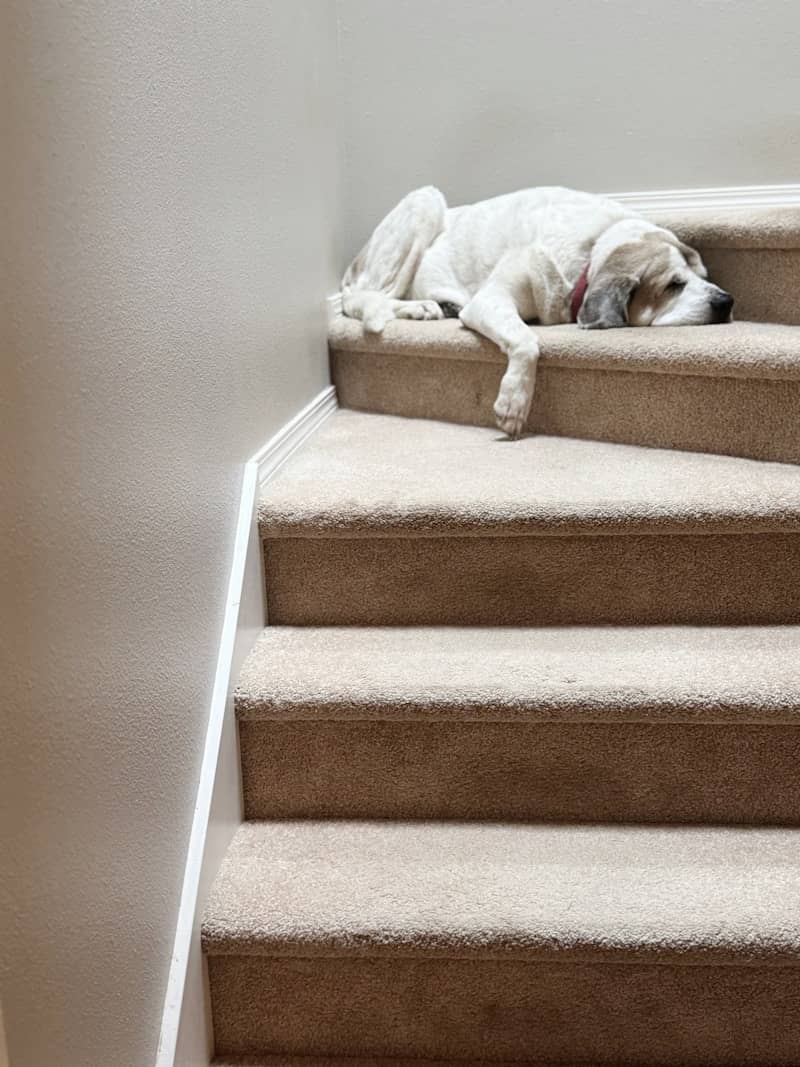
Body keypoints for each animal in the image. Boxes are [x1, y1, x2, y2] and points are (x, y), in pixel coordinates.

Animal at [341, 184, 738, 437]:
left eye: (705, 276)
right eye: (674, 284)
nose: (726, 301)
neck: (592, 250)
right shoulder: (491, 299)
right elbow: (527, 342)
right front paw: (514, 403)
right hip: (423, 202)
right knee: (361, 297)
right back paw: (415, 307)